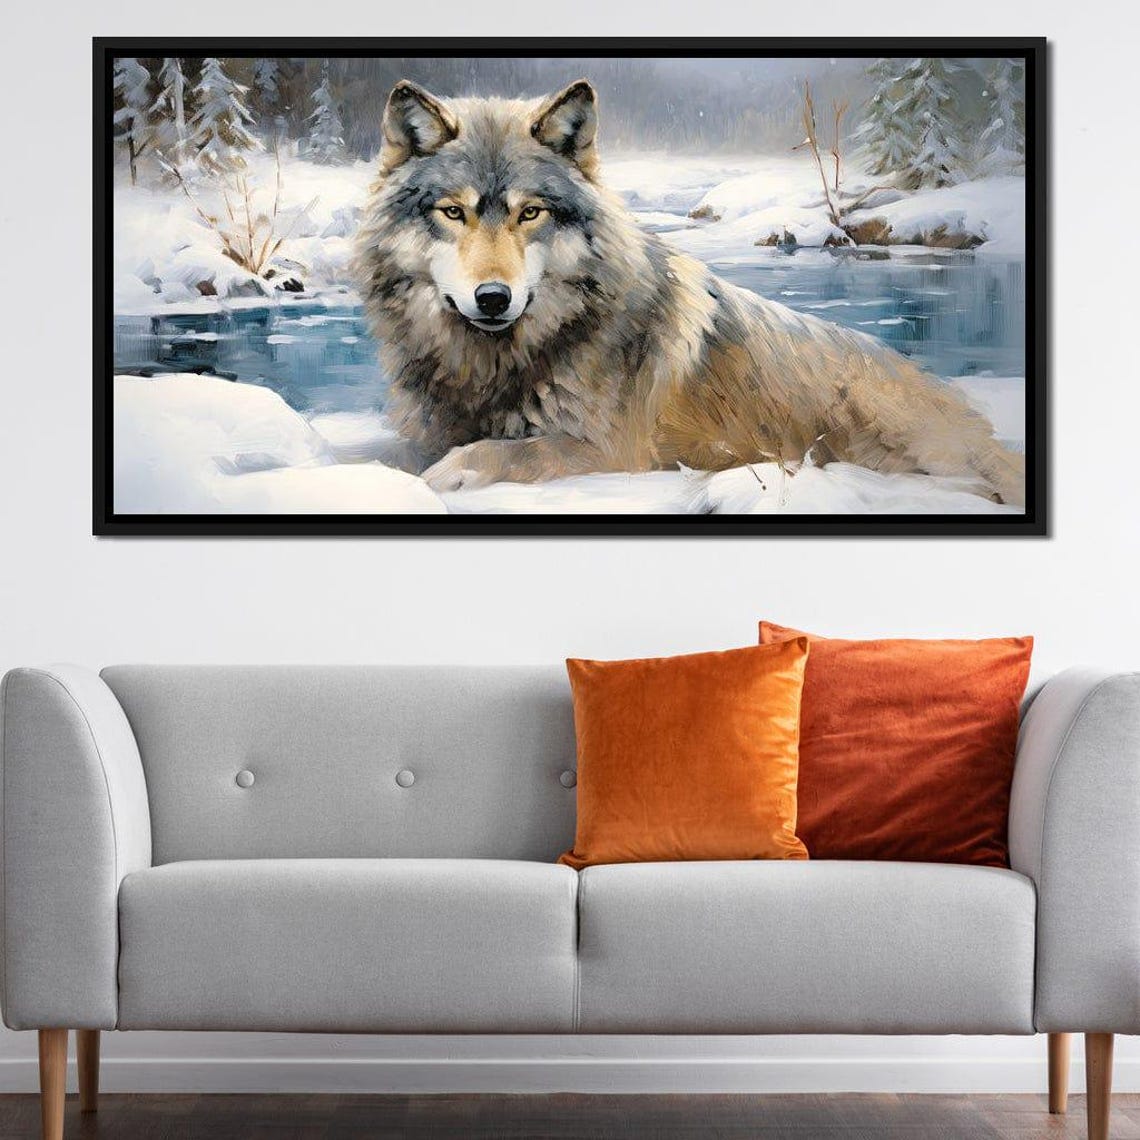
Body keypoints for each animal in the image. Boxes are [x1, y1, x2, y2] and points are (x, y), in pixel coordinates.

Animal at [354, 79, 1024, 506]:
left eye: (530, 213)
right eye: (453, 212)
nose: (494, 298)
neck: (493, 364)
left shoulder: (614, 452)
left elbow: (501, 454)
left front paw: (443, 477)